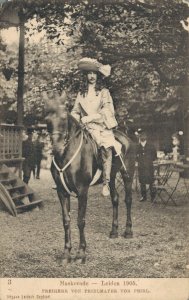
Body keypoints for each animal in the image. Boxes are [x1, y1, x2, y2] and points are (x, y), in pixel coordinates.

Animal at [44, 92, 136, 264]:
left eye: (63, 118)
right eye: (47, 119)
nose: (56, 148)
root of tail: (127, 138)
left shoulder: (82, 191)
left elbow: (80, 221)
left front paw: (81, 253)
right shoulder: (61, 192)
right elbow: (66, 221)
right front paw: (66, 254)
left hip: (127, 175)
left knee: (128, 200)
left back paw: (128, 231)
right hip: (111, 177)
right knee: (115, 199)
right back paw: (114, 231)